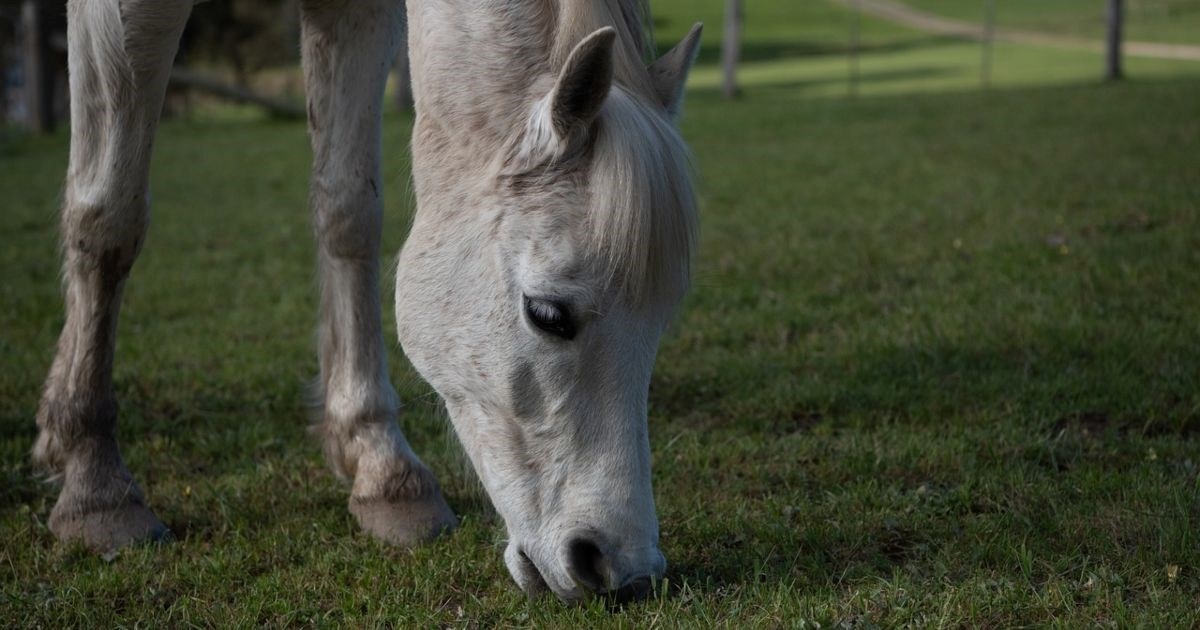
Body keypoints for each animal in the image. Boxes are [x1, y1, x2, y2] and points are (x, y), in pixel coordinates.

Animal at [37, 0, 700, 602]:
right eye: (549, 315)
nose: (624, 571)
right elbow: (108, 216)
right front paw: (95, 487)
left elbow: (348, 210)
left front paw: (382, 467)